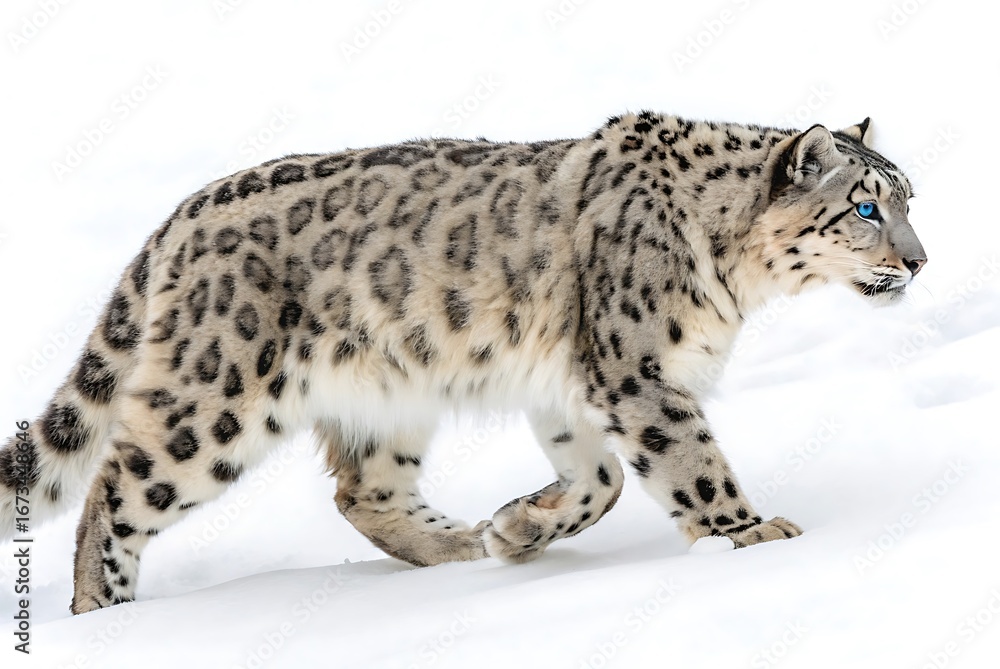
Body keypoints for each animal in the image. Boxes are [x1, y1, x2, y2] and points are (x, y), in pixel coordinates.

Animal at [0, 111, 926, 615]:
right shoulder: (634, 369)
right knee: (116, 486)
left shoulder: (577, 384)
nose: (918, 261)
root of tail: (179, 218)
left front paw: (519, 525)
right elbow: (688, 461)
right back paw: (103, 615)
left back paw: (465, 543)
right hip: (216, 396)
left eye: (910, 197)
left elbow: (600, 479)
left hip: (387, 396)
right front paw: (751, 533)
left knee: (363, 491)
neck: (738, 277)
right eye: (865, 207)